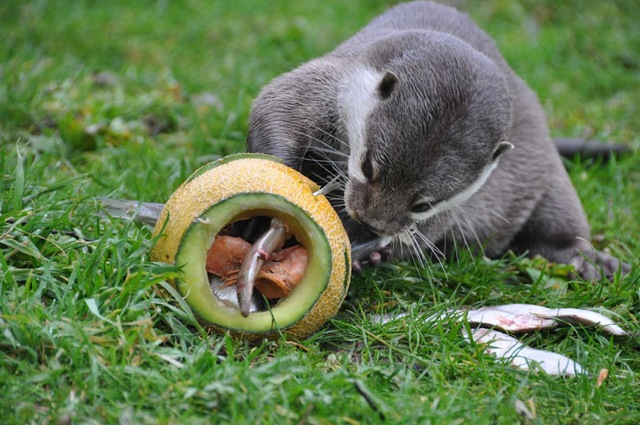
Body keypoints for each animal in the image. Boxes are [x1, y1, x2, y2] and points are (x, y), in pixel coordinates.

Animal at [246, 1, 630, 280]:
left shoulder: (452, 207)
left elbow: (425, 231)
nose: (370, 222)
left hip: (548, 174)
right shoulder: (320, 85)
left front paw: (368, 251)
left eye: (423, 204)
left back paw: (592, 262)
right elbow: (273, 110)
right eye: (368, 166)